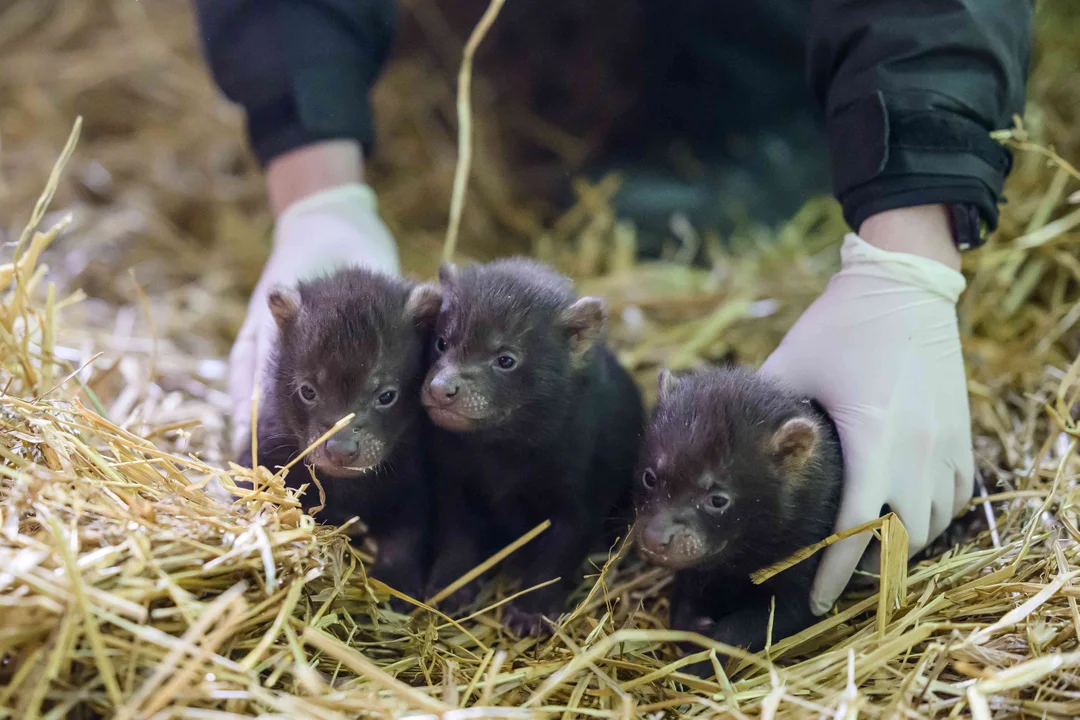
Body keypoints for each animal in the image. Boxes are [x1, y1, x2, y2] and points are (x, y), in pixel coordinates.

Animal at [236, 264, 438, 604]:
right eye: (307, 391)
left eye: (387, 396)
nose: (341, 449)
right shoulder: (264, 446)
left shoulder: (412, 479)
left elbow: (407, 531)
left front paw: (397, 585)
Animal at [419, 257, 639, 634]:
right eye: (442, 342)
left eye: (506, 359)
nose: (440, 388)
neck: (503, 451)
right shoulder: (455, 481)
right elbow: (458, 536)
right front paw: (451, 589)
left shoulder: (579, 491)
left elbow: (558, 553)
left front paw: (529, 612)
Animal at [630, 367, 842, 677]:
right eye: (649, 477)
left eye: (718, 499)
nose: (655, 538)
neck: (737, 566)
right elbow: (681, 603)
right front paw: (694, 625)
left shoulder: (806, 568)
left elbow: (761, 623)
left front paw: (702, 660)